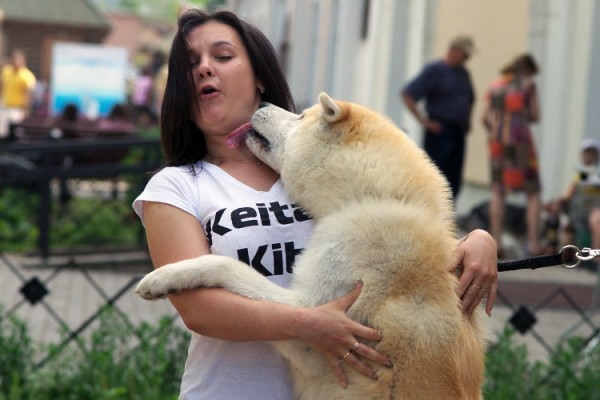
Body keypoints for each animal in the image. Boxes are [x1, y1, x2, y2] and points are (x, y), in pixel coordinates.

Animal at [135, 93, 482, 396]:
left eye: (301, 116)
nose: (261, 101)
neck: (375, 197)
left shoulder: (315, 328)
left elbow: (229, 266)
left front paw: (163, 277)